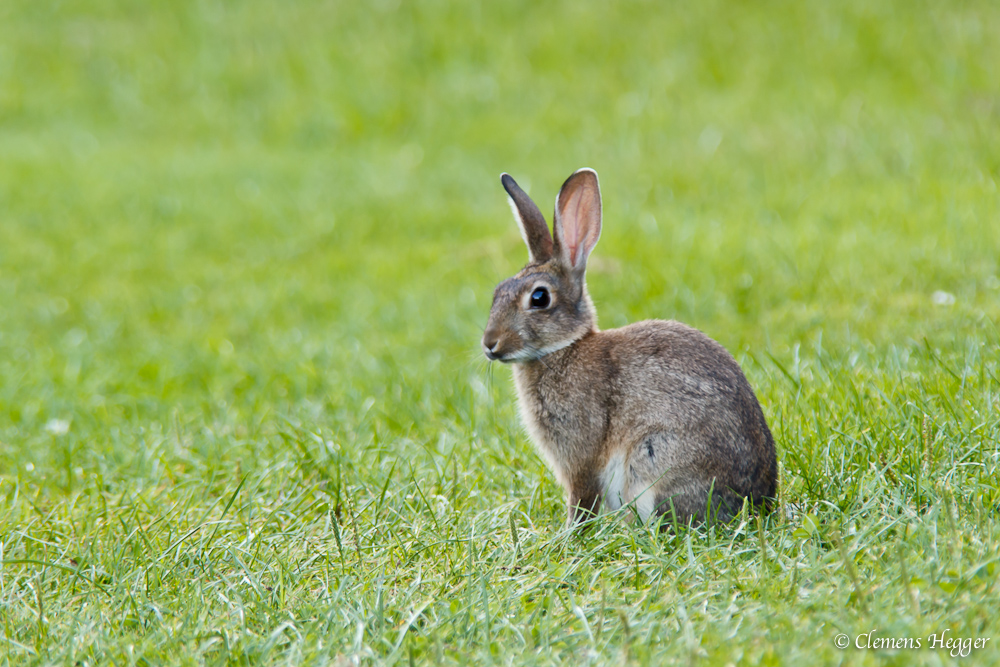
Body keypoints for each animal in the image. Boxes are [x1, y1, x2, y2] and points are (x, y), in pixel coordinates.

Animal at [480, 170, 776, 528]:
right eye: (497, 292)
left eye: (539, 298)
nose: (490, 344)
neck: (562, 349)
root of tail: (759, 502)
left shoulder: (581, 454)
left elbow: (581, 497)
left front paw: (570, 532)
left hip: (652, 459)